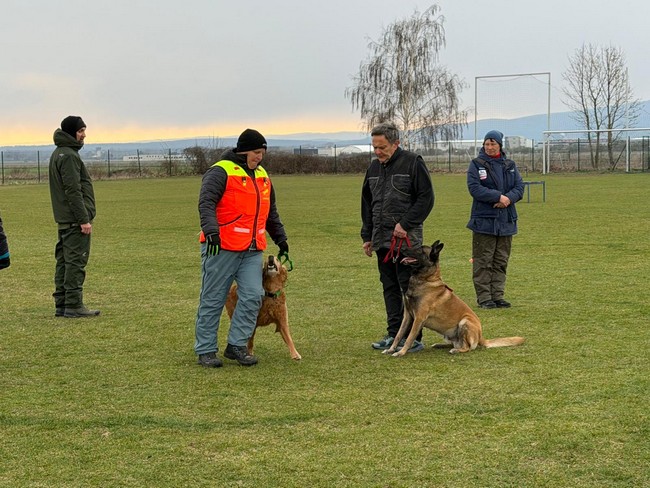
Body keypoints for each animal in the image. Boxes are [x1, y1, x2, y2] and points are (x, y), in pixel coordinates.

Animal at [384, 240, 524, 356]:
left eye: (420, 250)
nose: (399, 248)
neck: (426, 280)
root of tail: (481, 337)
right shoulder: (408, 316)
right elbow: (398, 335)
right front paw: (391, 349)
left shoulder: (419, 318)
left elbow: (409, 338)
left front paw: (401, 352)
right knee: (455, 343)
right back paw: (440, 345)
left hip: (464, 322)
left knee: (467, 347)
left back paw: (456, 350)